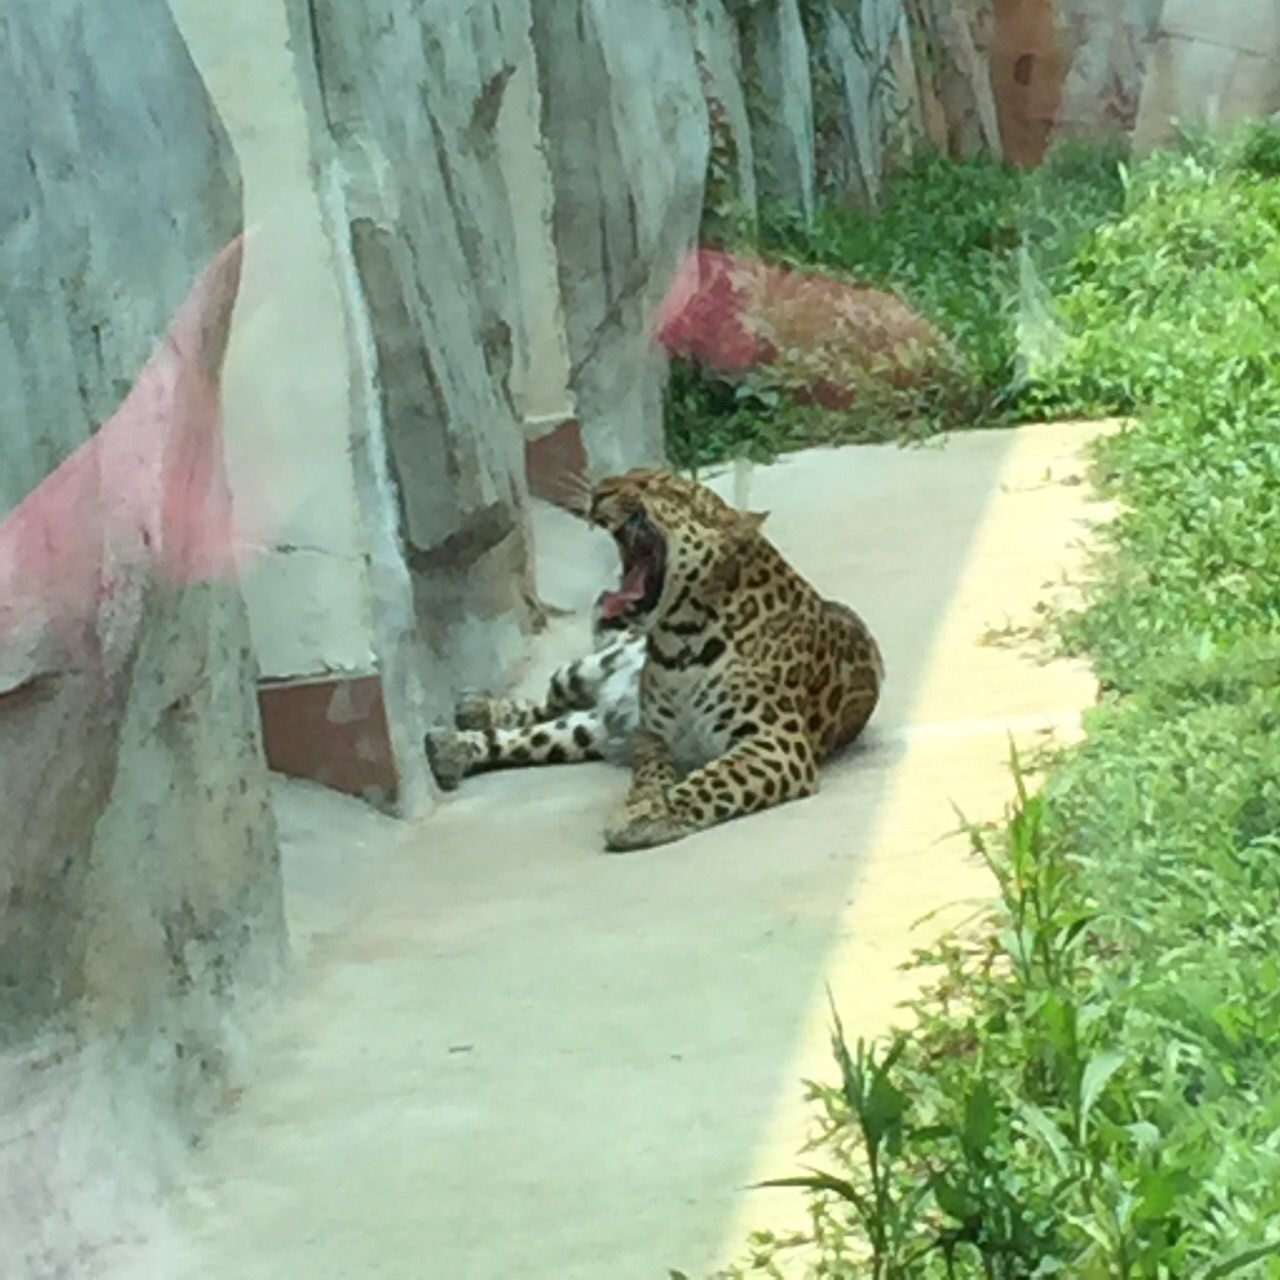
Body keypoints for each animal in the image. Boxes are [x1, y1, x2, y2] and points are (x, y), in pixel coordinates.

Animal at [419, 465, 880, 855]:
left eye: (658, 487)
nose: (600, 491)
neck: (679, 644)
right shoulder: (652, 738)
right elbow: (650, 775)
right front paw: (643, 802)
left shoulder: (775, 742)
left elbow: (714, 779)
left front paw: (649, 815)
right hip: (587, 673)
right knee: (547, 703)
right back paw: (469, 721)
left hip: (596, 724)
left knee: (554, 727)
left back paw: (457, 740)